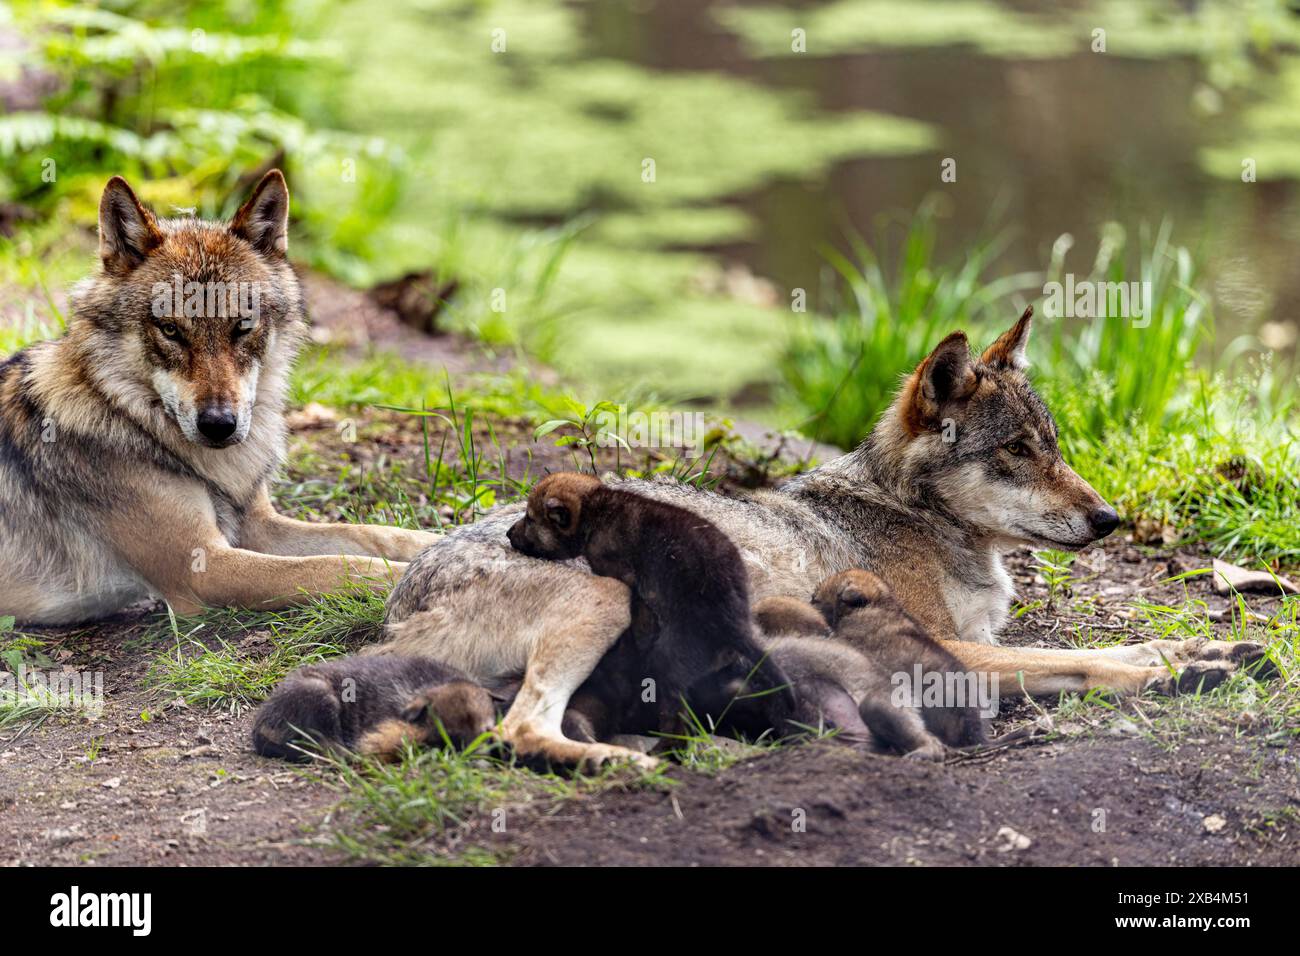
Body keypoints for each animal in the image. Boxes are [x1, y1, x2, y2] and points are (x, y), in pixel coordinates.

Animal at [0, 170, 436, 629]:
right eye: (170, 330)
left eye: (243, 325)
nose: (218, 425)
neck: (127, 416)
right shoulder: (202, 566)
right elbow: (336, 565)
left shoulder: (258, 524)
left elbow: (368, 534)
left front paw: (443, 541)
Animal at [382, 314, 1258, 770]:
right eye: (1015, 451)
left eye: (1053, 445)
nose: (1109, 520)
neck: (920, 519)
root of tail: (398, 610)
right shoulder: (946, 647)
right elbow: (1085, 662)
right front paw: (1182, 669)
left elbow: (1094, 652)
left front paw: (1196, 652)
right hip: (600, 598)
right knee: (518, 730)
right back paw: (614, 761)